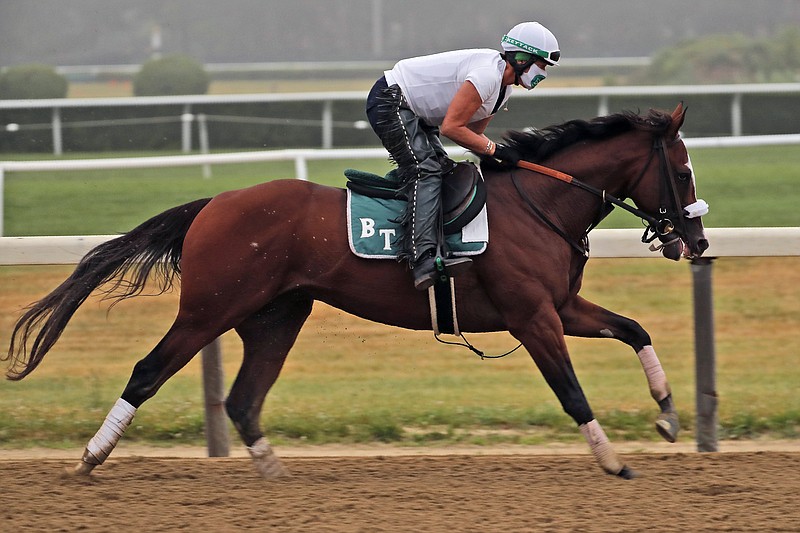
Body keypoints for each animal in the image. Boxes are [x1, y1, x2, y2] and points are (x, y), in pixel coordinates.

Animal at [4, 103, 708, 478]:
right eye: (680, 171)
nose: (696, 242)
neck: (540, 203)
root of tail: (213, 203)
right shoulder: (532, 315)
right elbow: (571, 391)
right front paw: (613, 461)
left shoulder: (560, 305)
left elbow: (635, 329)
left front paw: (668, 414)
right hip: (210, 309)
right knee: (149, 371)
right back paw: (90, 457)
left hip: (276, 315)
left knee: (243, 398)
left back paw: (273, 471)